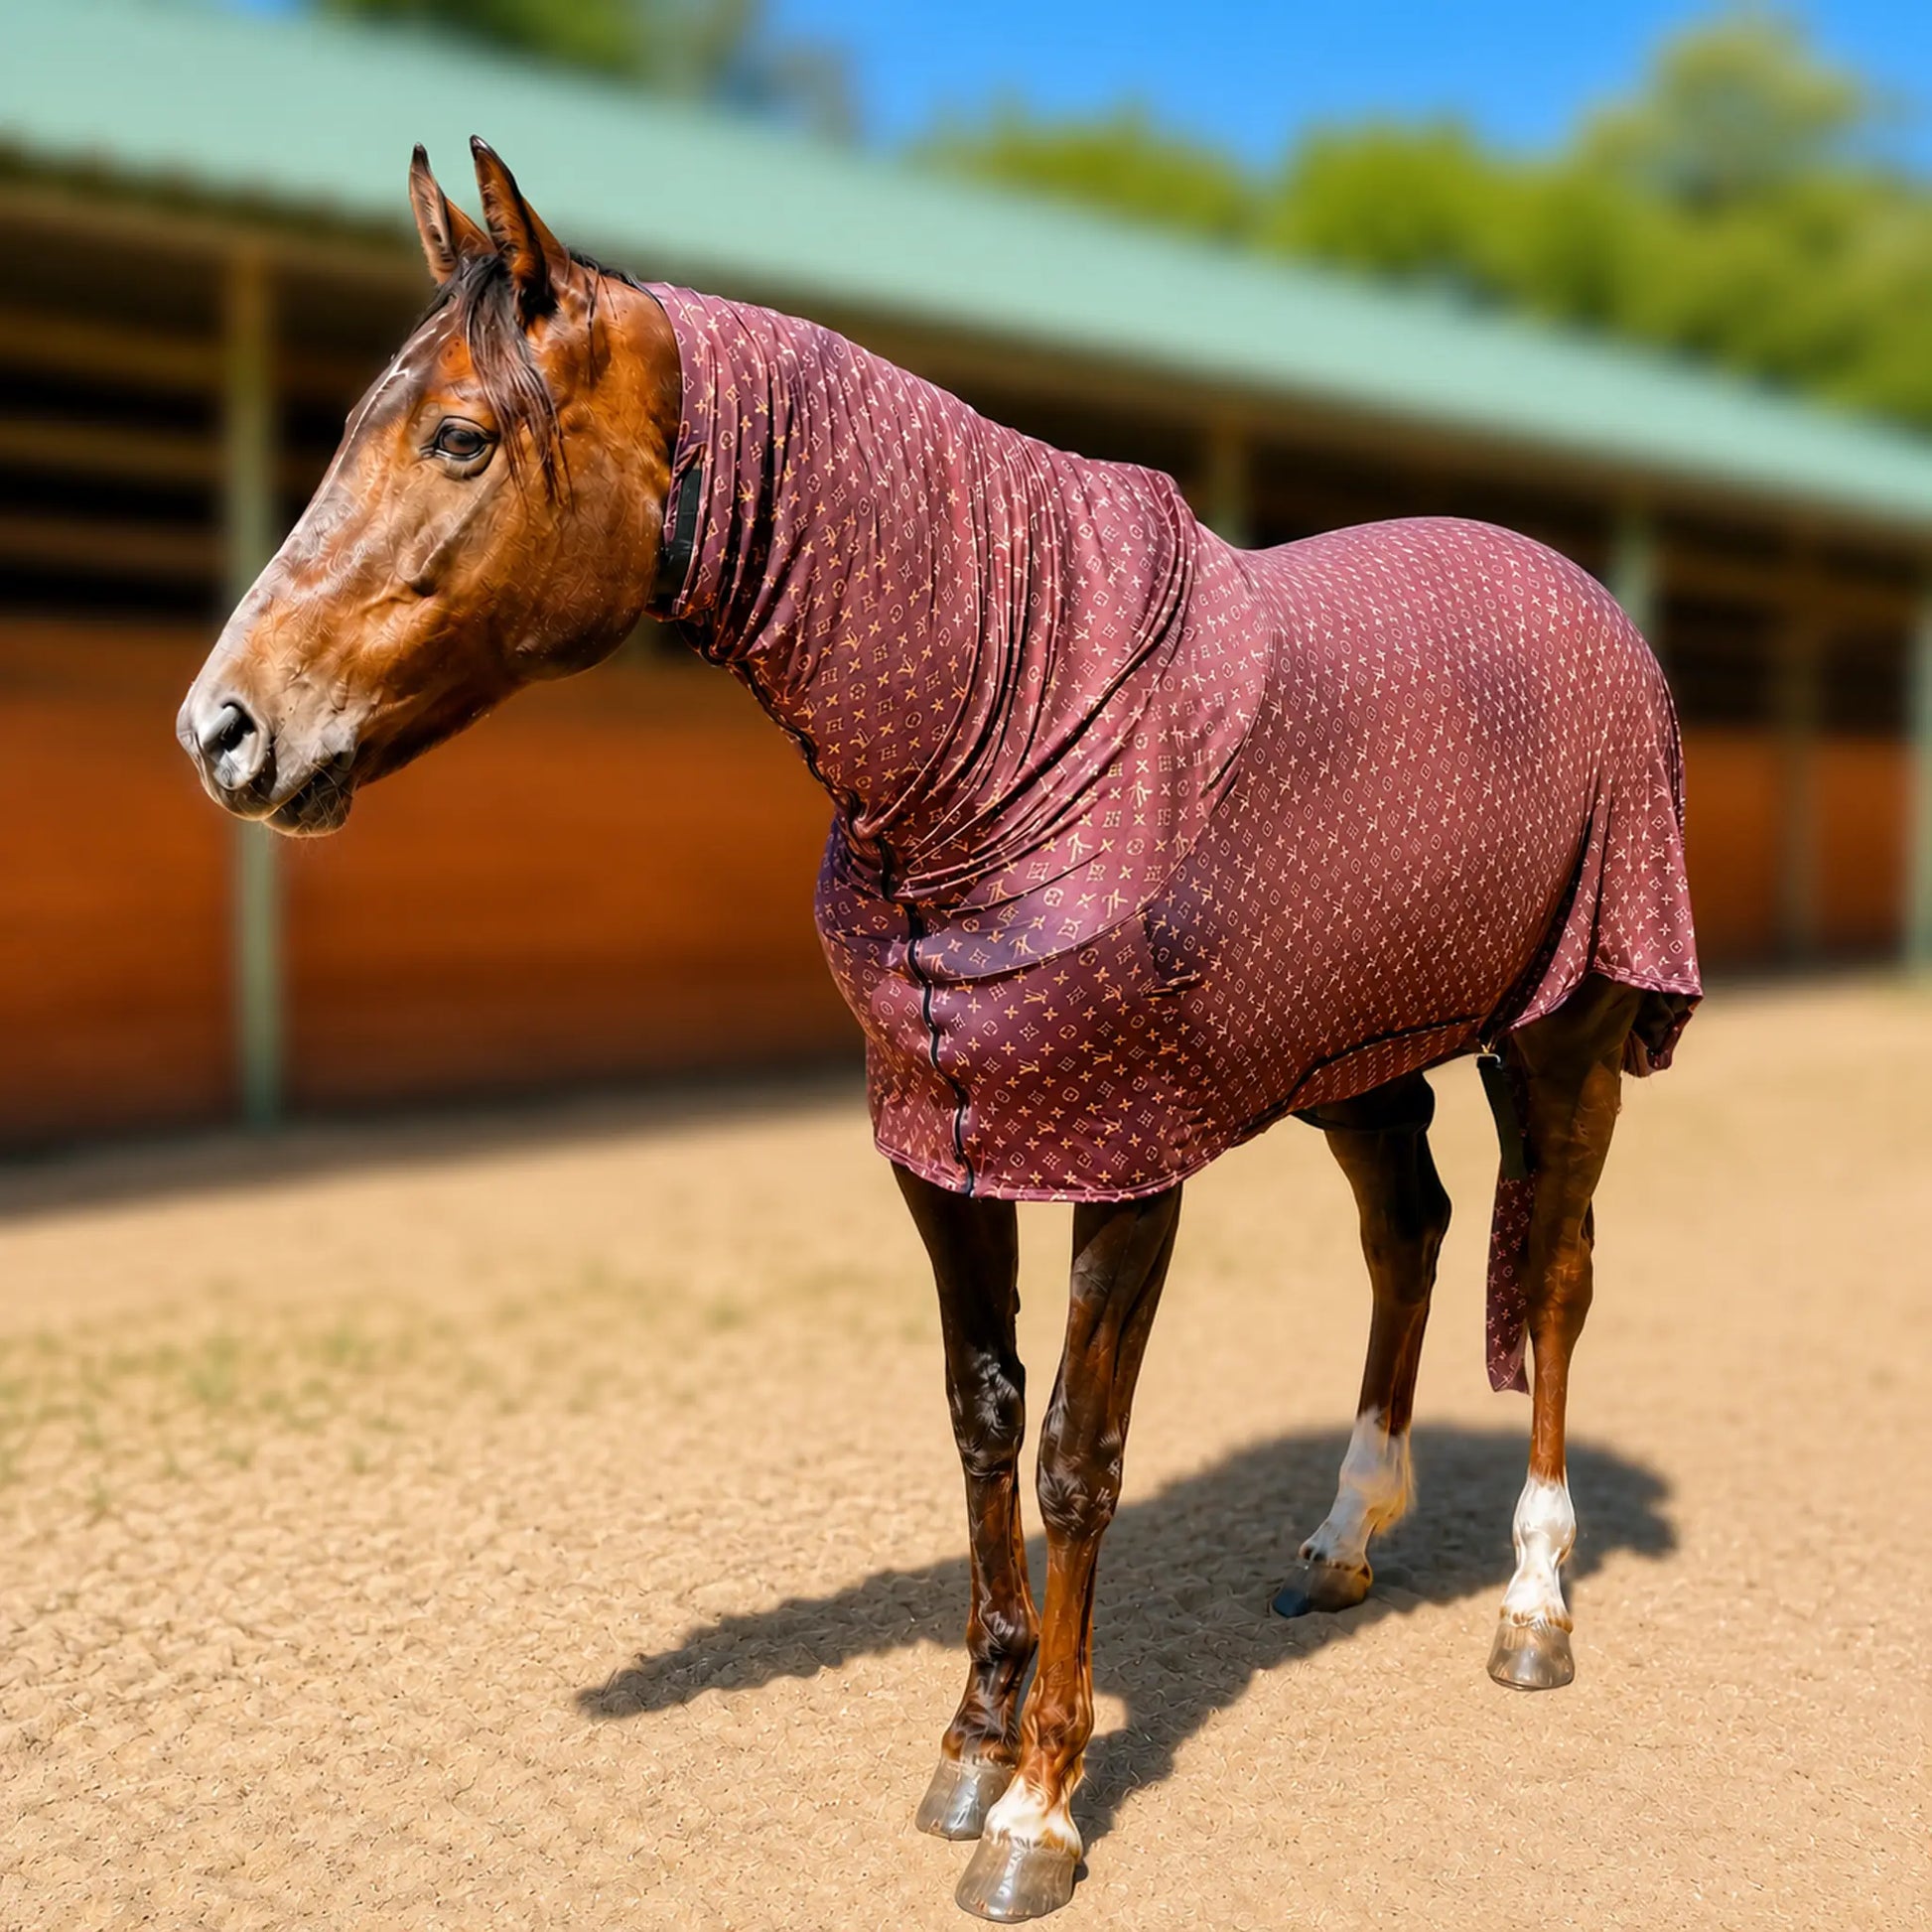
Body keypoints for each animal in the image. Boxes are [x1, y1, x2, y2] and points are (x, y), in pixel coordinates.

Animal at [179, 142, 1701, 1923]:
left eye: (462, 436)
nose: (223, 729)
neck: (1000, 715)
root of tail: (1587, 599)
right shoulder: (940, 1141)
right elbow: (979, 1419)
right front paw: (970, 1748)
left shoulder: (1125, 1160)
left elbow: (1073, 1455)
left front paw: (1040, 1807)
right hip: (1359, 1058)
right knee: (1411, 1232)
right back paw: (1342, 1541)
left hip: (1562, 1036)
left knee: (1554, 1275)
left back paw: (1534, 1607)